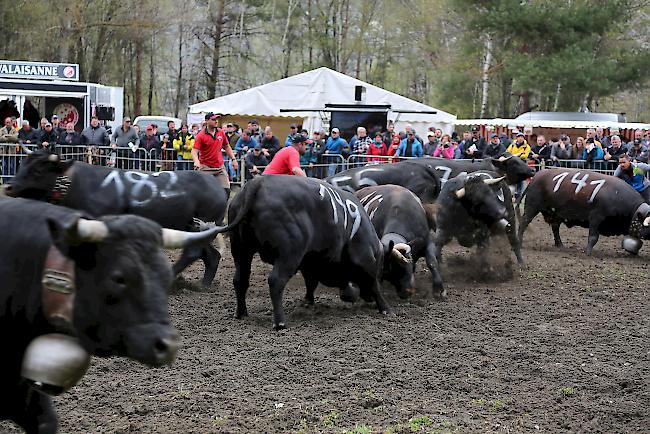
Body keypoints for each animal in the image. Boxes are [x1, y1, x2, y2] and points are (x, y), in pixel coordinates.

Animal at [5, 149, 227, 288]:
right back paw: (203, 284)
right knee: (211, 255)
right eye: (22, 164)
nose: (9, 186)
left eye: (38, 169)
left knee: (194, 252)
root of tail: (218, 188)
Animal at [214, 175, 390, 330]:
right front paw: (385, 308)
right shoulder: (364, 258)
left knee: (240, 280)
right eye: (382, 268)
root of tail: (257, 183)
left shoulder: (309, 261)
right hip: (288, 254)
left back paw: (241, 313)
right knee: (275, 281)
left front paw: (308, 301)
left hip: (241, 251)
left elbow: (311, 282)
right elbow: (373, 283)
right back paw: (280, 322)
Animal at [516, 168, 648, 256]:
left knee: (555, 228)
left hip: (555, 214)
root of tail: (536, 176)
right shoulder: (596, 217)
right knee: (523, 223)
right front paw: (588, 253)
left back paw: (560, 245)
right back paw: (519, 243)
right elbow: (593, 237)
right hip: (531, 207)